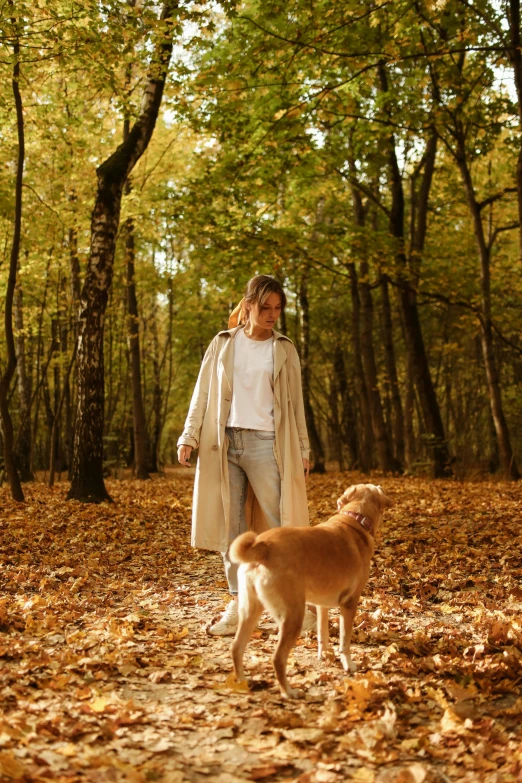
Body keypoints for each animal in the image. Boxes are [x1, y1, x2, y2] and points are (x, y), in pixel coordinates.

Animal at [228, 484, 390, 700]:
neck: (355, 519)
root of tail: (262, 547)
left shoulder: (322, 605)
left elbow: (322, 633)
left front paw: (324, 655)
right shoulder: (349, 603)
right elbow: (344, 640)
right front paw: (348, 664)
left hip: (250, 610)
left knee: (236, 647)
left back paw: (241, 683)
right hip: (292, 616)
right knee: (277, 658)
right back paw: (288, 692)